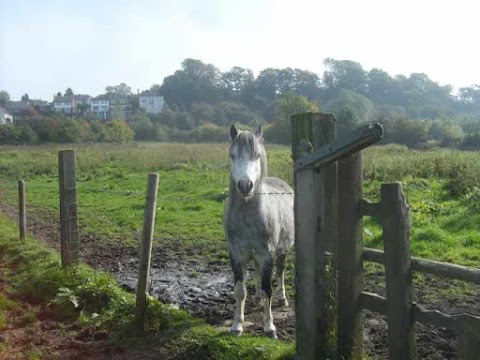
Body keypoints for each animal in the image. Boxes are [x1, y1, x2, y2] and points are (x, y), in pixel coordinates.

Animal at [223, 123, 294, 338]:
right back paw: (254, 298)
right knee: (256, 272)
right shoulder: (236, 254)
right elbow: (240, 290)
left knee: (280, 270)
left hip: (281, 251)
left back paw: (282, 298)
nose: (245, 185)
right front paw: (237, 325)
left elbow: (266, 289)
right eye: (232, 155)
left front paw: (269, 327)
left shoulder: (267, 254)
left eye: (256, 155)